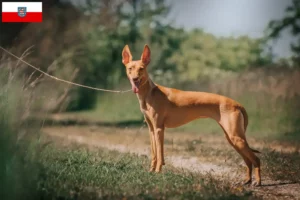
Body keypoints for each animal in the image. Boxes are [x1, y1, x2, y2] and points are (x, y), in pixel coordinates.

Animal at [120, 44, 262, 187]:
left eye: (141, 69)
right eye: (130, 68)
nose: (135, 79)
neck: (150, 93)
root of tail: (237, 104)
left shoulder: (159, 129)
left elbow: (160, 154)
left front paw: (158, 171)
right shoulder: (151, 129)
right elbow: (154, 153)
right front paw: (151, 170)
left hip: (236, 137)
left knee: (256, 159)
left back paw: (258, 181)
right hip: (232, 138)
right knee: (247, 160)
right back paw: (247, 180)